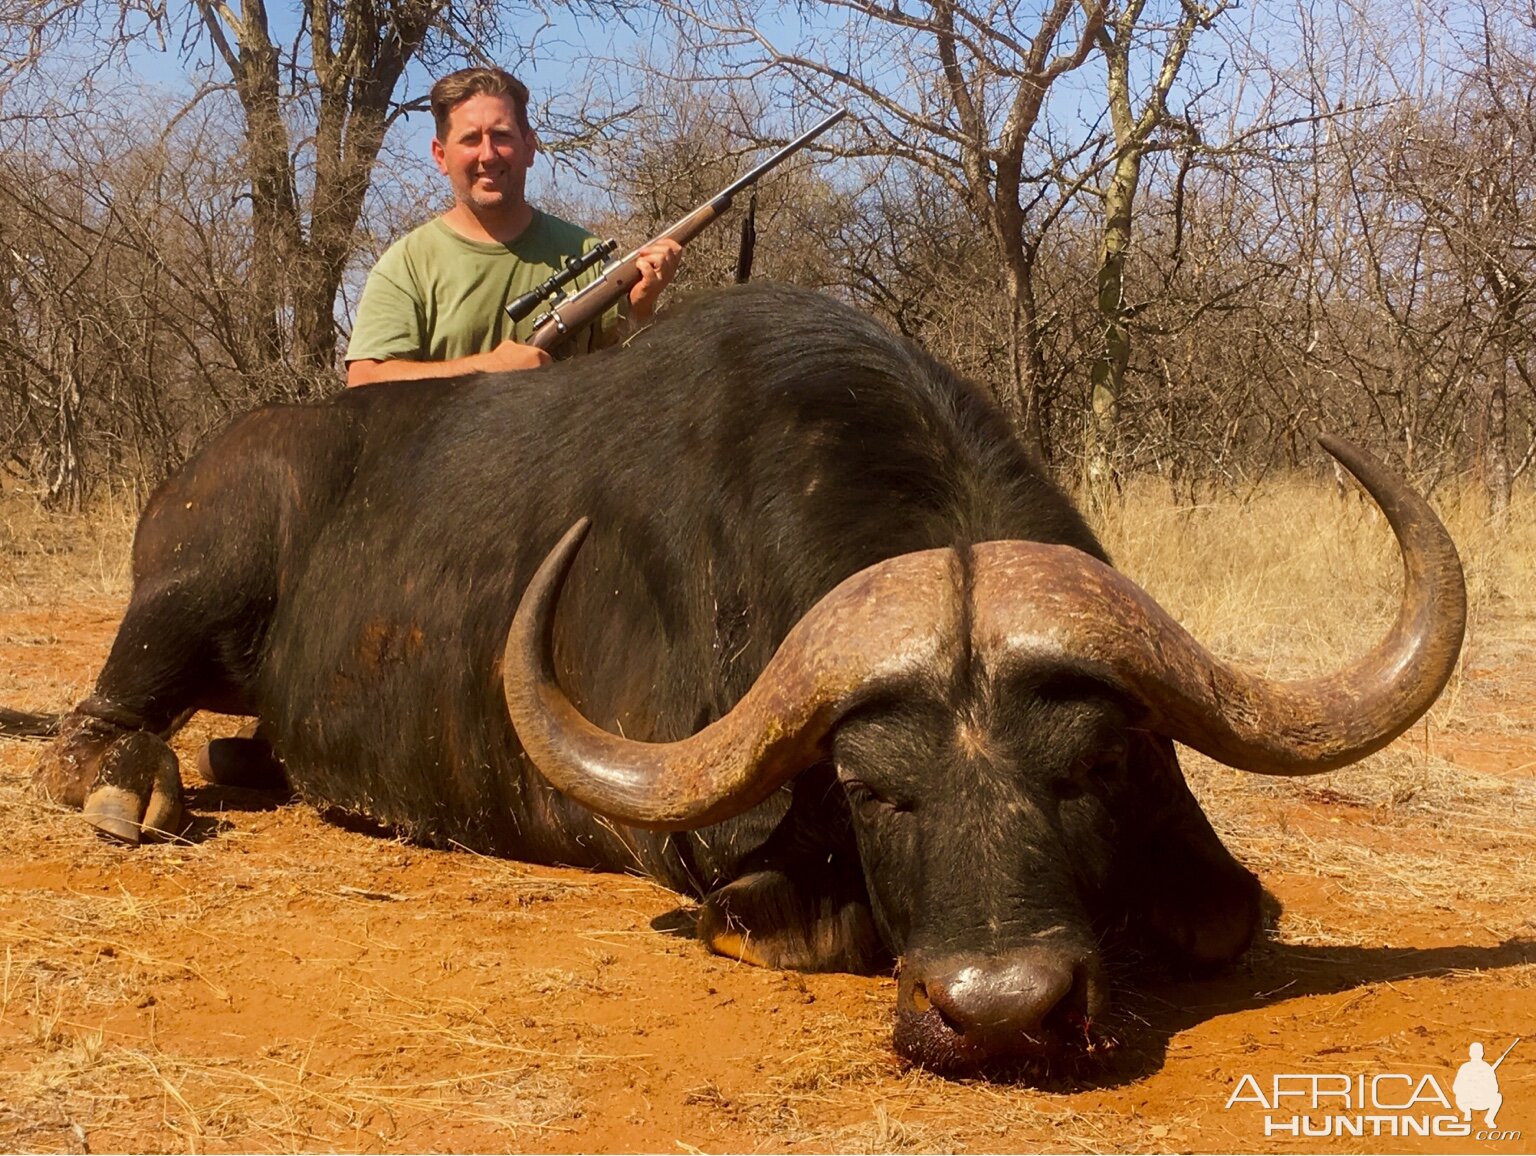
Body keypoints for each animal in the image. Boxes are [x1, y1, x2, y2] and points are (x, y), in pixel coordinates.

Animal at [27, 282, 1462, 1074]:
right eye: (877, 791)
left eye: (1096, 768)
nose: (1002, 1014)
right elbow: (793, 916)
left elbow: (1222, 912)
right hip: (193, 582)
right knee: (113, 714)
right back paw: (122, 781)